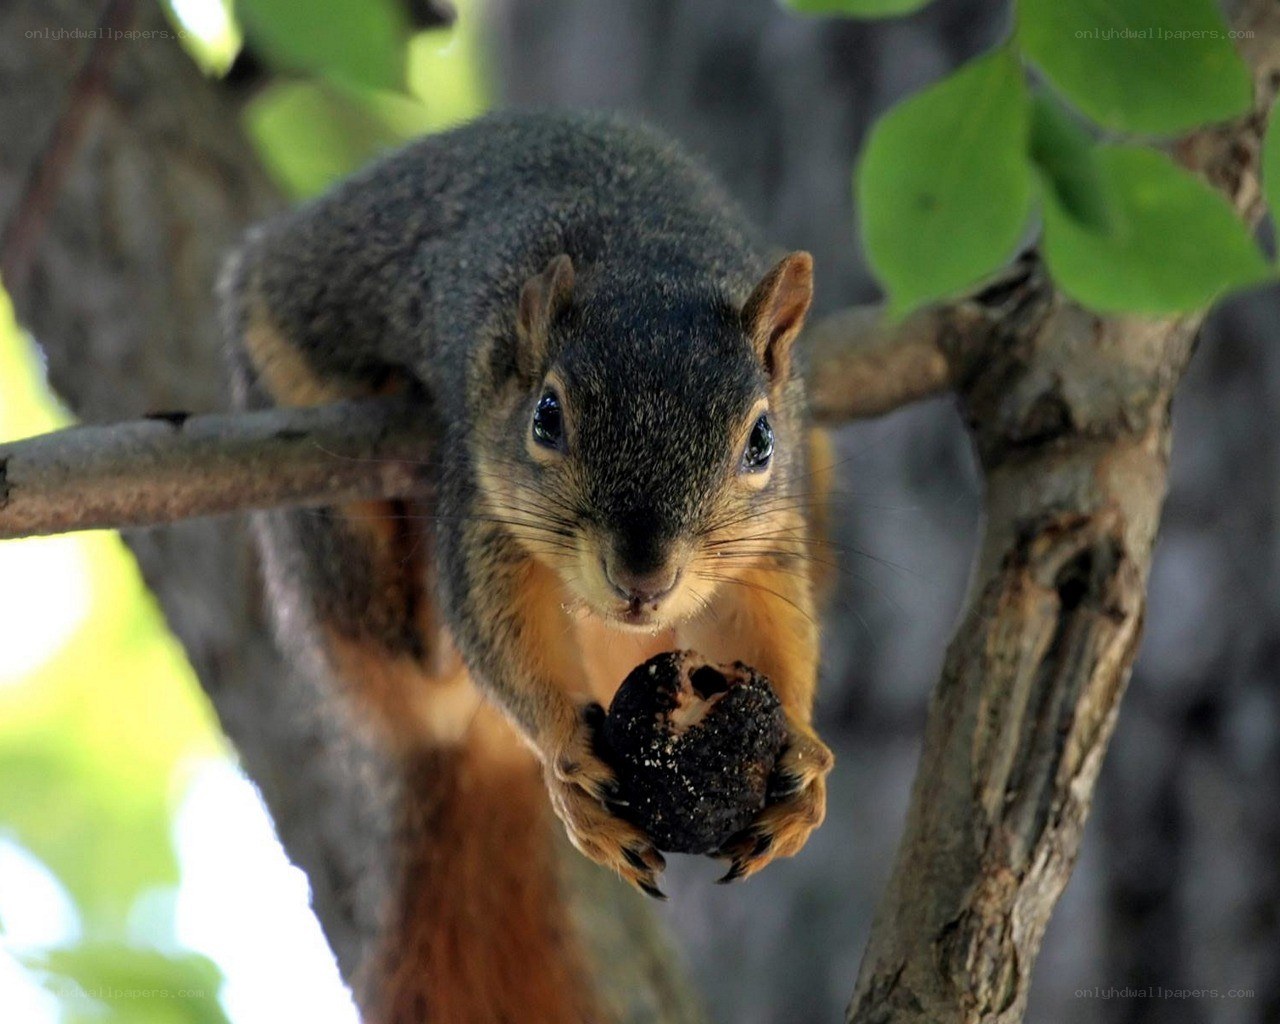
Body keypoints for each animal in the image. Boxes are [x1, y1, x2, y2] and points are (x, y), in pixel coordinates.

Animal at [221, 110, 835, 1023]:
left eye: (760, 440)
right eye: (547, 417)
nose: (644, 579)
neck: (645, 251)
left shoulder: (773, 538)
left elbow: (772, 626)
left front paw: (801, 748)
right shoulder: (483, 496)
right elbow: (495, 622)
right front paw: (564, 756)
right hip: (319, 510)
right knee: (414, 659)